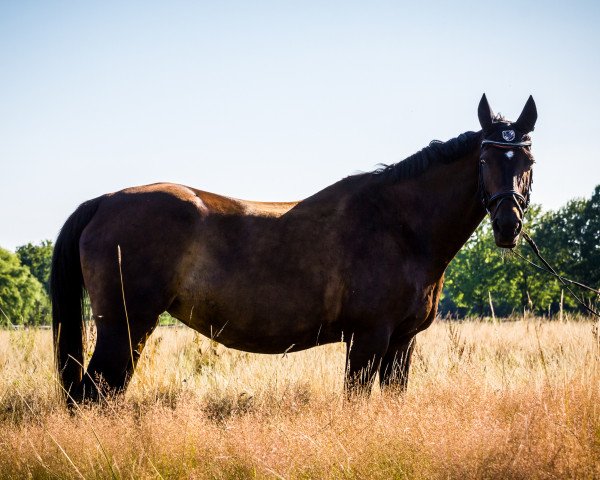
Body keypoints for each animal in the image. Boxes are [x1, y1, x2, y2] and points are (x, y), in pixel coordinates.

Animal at [51, 94, 540, 402]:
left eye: (528, 159)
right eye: (485, 158)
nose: (508, 225)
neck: (399, 225)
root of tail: (104, 201)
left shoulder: (402, 343)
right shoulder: (368, 339)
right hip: (124, 329)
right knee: (93, 395)